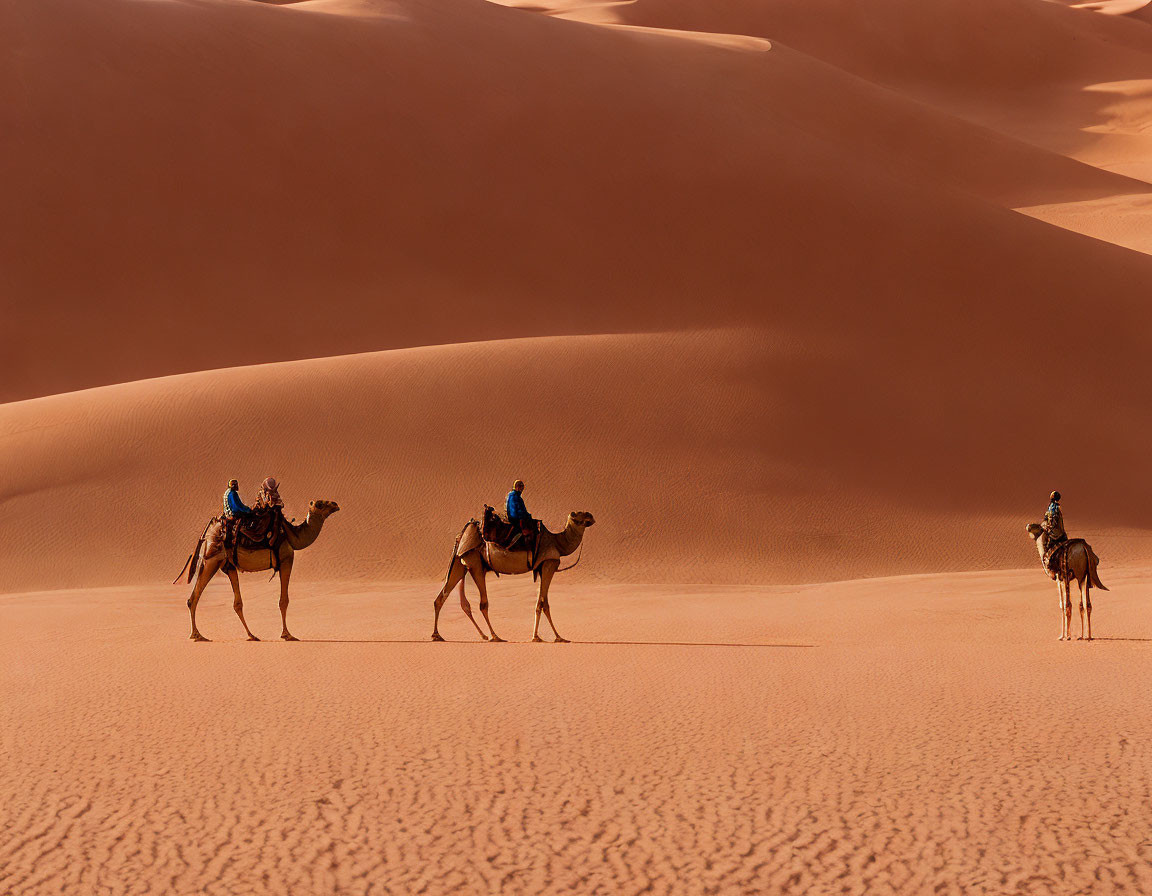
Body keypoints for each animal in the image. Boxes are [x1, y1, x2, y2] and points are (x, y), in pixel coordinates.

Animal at [179, 499, 338, 640]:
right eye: (319, 504)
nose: (335, 505)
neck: (293, 536)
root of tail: (207, 532)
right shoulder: (286, 559)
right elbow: (283, 601)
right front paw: (287, 635)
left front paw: (285, 634)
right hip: (212, 559)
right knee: (194, 597)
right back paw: (197, 635)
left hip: (227, 564)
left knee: (236, 602)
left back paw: (251, 635)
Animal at [430, 509, 599, 640]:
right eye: (580, 514)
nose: (591, 516)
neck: (558, 543)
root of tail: (462, 533)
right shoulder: (549, 563)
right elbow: (544, 603)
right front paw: (556, 637)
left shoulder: (542, 568)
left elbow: (539, 603)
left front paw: (537, 636)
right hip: (475, 562)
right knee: (482, 603)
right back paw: (495, 636)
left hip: (462, 562)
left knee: (443, 597)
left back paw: (438, 635)